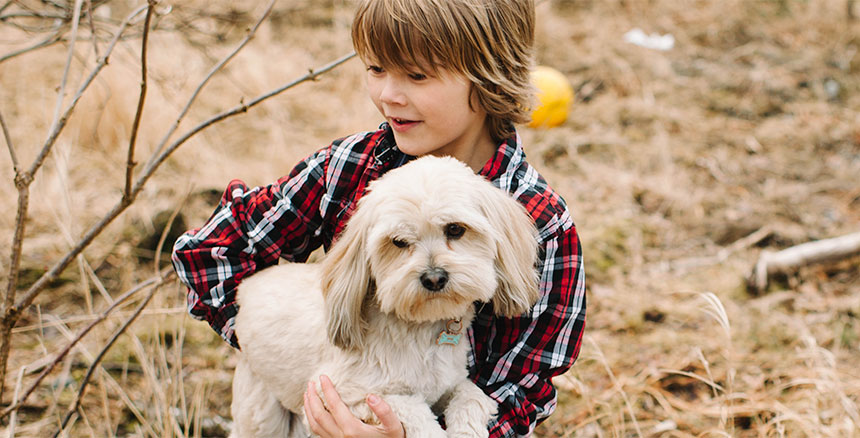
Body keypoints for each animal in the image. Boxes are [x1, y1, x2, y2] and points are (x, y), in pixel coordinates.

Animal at [228, 156, 536, 436]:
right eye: (398, 242)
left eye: (455, 229)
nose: (434, 278)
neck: (419, 330)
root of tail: (248, 288)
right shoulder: (339, 397)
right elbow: (410, 409)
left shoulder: (448, 384)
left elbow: (472, 395)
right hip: (263, 414)